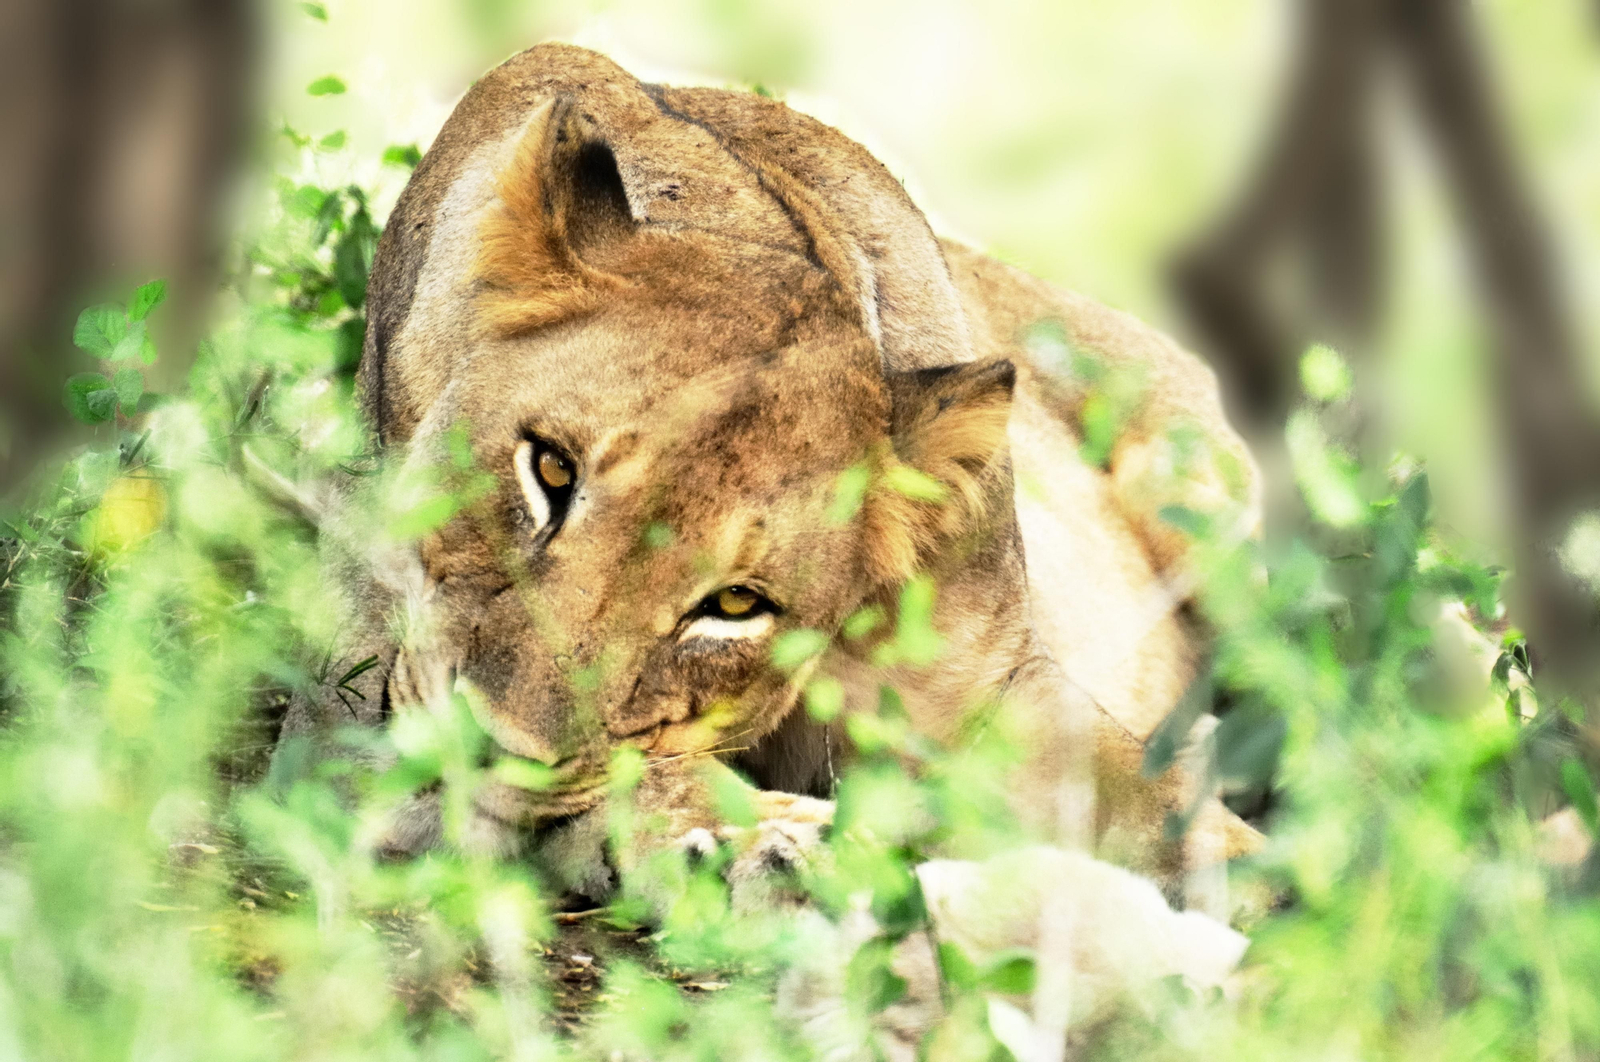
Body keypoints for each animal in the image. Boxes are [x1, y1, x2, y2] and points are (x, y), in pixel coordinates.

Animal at [278, 43, 1262, 905]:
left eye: (736, 604)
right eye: (549, 468)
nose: (483, 744)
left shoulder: (993, 690)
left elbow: (1143, 794)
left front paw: (1257, 880)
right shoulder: (343, 702)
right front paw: (762, 841)